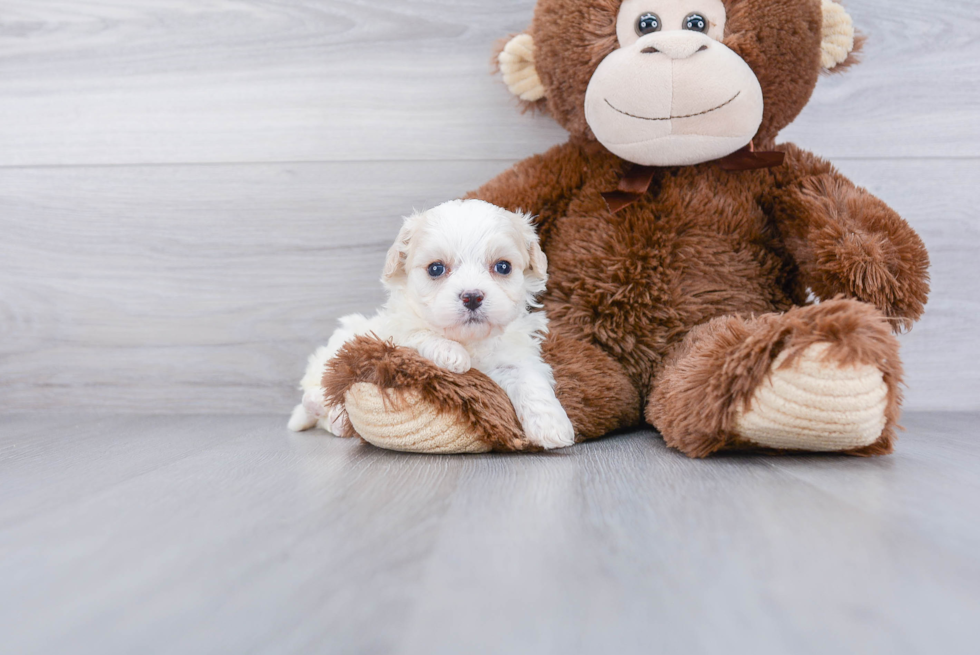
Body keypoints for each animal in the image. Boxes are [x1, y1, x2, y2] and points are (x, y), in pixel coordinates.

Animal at [288, 200, 576, 452]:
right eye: (436, 268)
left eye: (503, 266)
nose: (472, 296)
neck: (467, 340)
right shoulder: (395, 334)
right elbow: (419, 334)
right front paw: (451, 355)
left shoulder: (514, 356)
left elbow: (530, 380)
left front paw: (552, 426)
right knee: (317, 395)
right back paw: (320, 405)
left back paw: (336, 421)